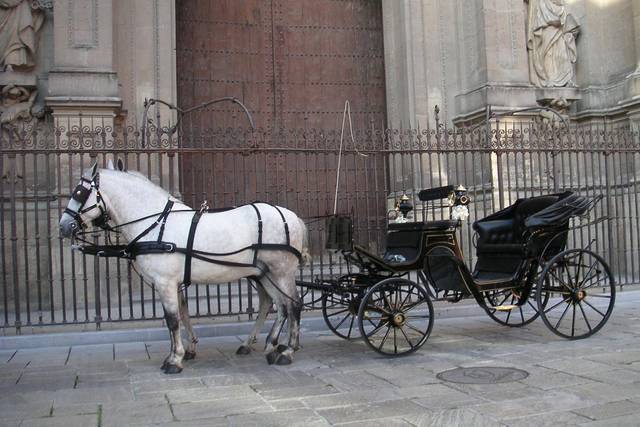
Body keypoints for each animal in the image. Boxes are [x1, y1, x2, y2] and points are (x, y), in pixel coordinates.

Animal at [58, 162, 308, 372]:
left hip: (281, 272)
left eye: (78, 193)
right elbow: (183, 313)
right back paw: (269, 345)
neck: (157, 222)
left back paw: (287, 350)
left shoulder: (165, 282)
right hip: (265, 274)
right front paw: (184, 351)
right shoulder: (174, 283)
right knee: (277, 305)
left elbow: (172, 319)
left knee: (293, 305)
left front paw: (174, 360)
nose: (63, 226)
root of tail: (293, 216)